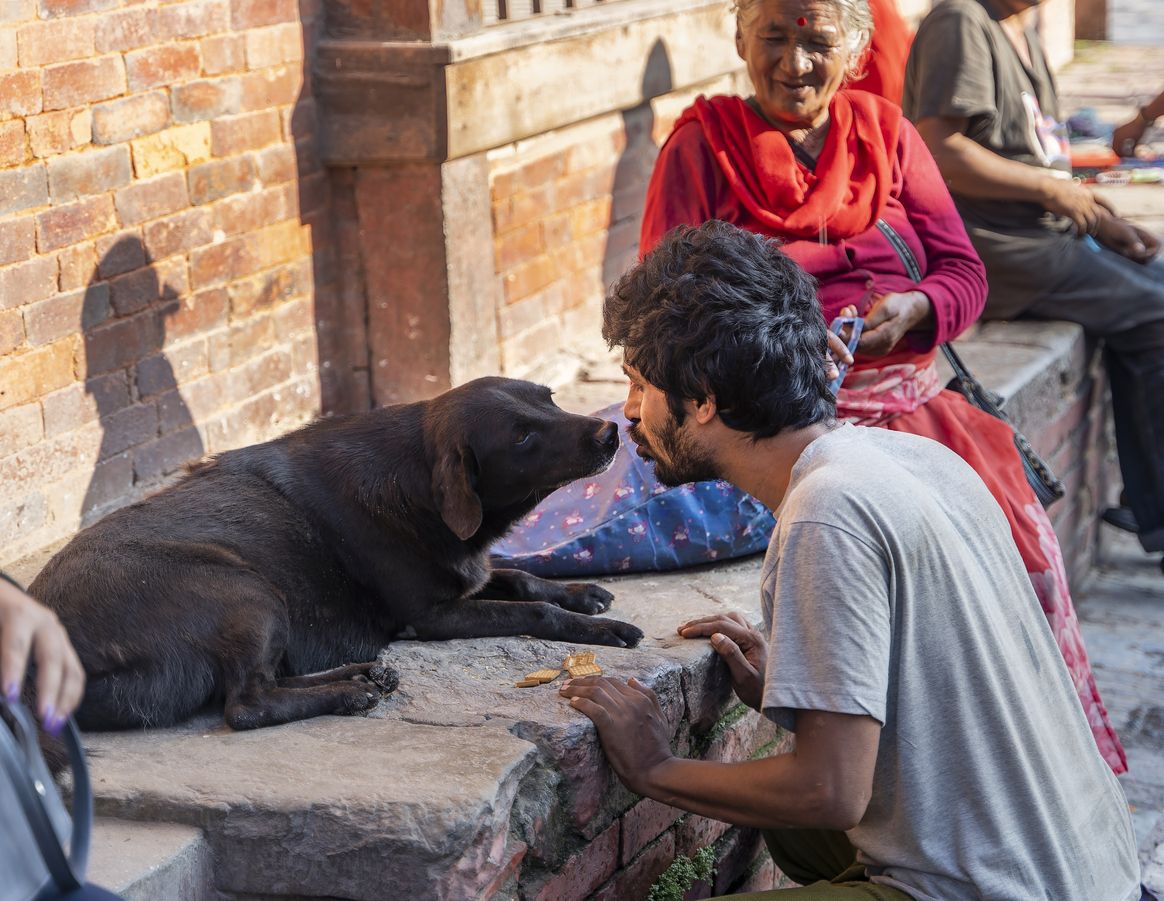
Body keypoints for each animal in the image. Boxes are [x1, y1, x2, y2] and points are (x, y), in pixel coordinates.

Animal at [29, 377, 647, 731]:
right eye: (521, 437)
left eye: (550, 399)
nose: (609, 431)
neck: (414, 479)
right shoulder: (434, 616)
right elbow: (533, 608)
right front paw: (602, 629)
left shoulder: (466, 577)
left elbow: (519, 576)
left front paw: (581, 592)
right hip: (247, 591)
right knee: (247, 704)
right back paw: (349, 693)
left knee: (267, 683)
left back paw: (362, 674)